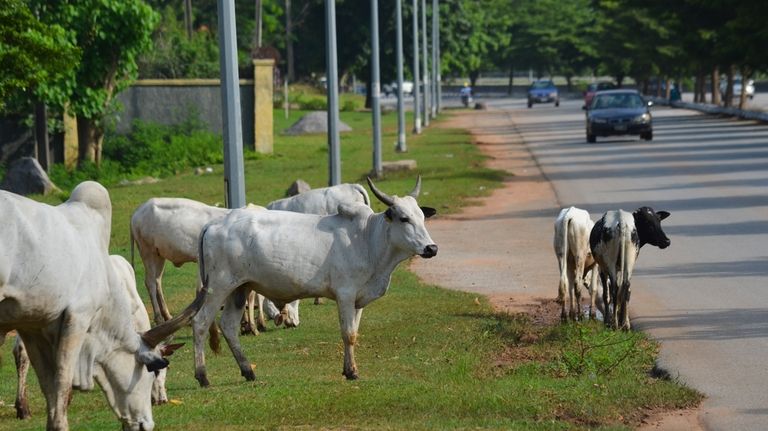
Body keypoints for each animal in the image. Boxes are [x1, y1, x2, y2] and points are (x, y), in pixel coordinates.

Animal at [190, 177, 438, 386]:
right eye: (404, 219)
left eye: (422, 217)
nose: (431, 248)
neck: (368, 239)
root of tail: (215, 224)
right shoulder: (345, 294)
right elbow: (348, 334)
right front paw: (352, 372)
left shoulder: (359, 299)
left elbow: (355, 333)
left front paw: (348, 368)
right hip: (218, 287)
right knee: (200, 323)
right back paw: (202, 376)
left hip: (239, 289)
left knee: (229, 326)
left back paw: (248, 370)